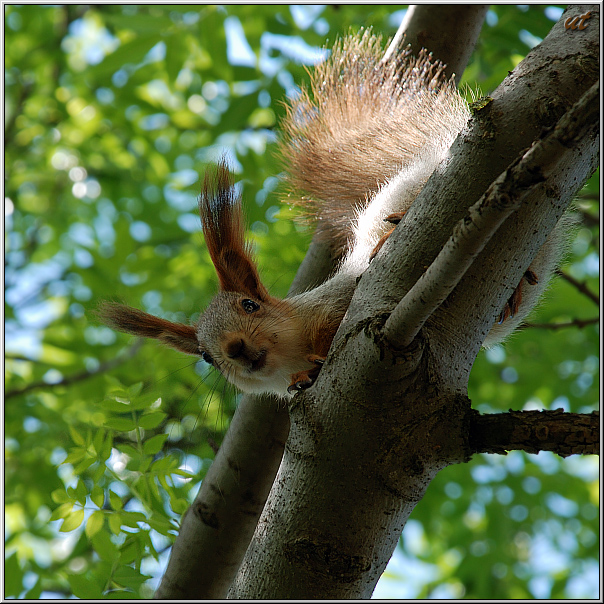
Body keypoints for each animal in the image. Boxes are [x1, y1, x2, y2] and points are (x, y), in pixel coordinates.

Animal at [98, 29, 568, 396]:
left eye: (250, 305)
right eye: (205, 357)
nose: (234, 349)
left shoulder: (337, 302)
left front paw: (317, 359)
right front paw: (302, 377)